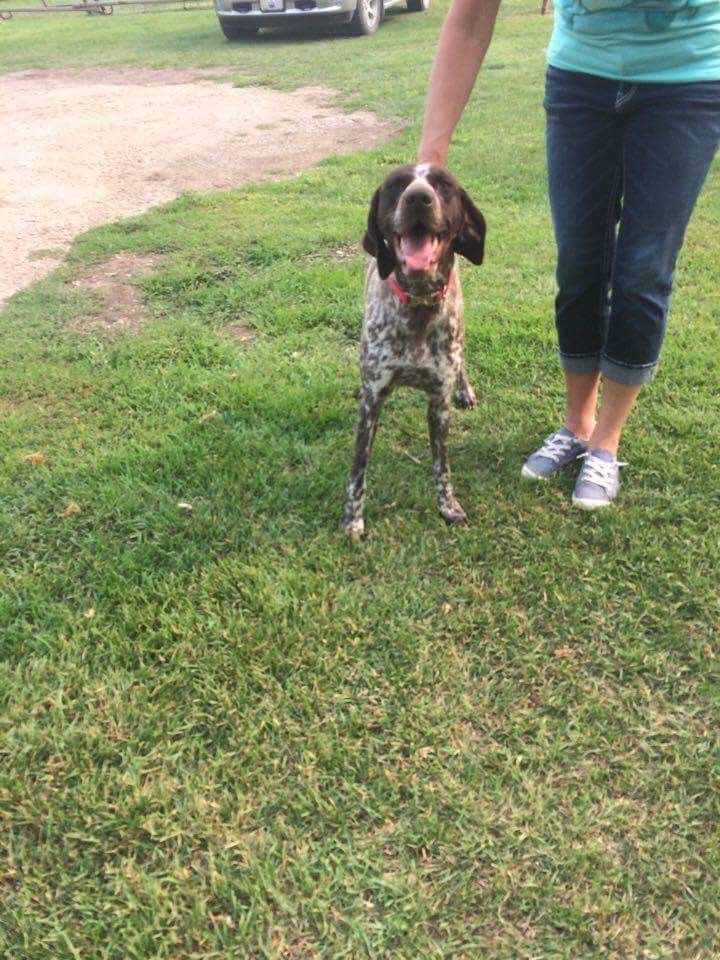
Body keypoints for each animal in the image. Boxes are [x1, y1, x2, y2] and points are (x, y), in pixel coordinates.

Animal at [341, 163, 486, 539]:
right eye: (396, 184)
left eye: (443, 184)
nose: (419, 198)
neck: (418, 304)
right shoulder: (372, 403)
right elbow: (357, 470)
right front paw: (352, 520)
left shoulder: (438, 405)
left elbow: (442, 465)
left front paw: (448, 507)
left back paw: (466, 390)